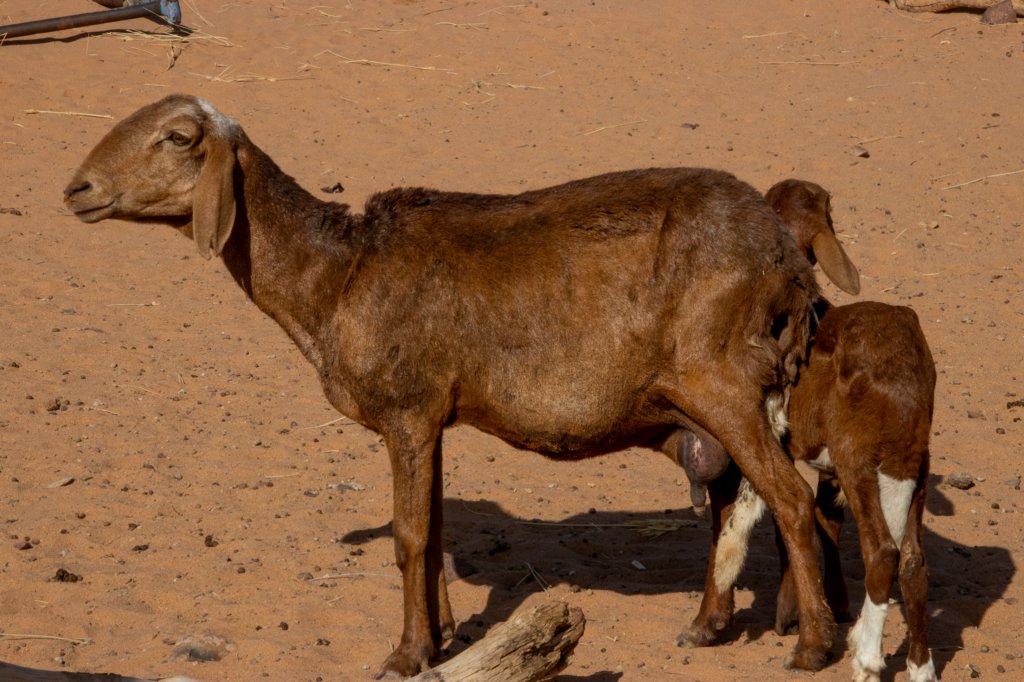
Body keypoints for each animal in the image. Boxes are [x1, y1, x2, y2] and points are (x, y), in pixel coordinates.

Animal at [64, 94, 831, 675]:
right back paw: (708, 626)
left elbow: (407, 535)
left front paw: (404, 655)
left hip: (721, 380)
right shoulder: (430, 417)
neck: (334, 277)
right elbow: (430, 532)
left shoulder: (406, 410)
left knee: (793, 501)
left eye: (177, 137)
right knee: (734, 505)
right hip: (708, 406)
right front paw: (437, 638)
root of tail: (783, 258)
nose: (77, 189)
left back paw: (812, 646)